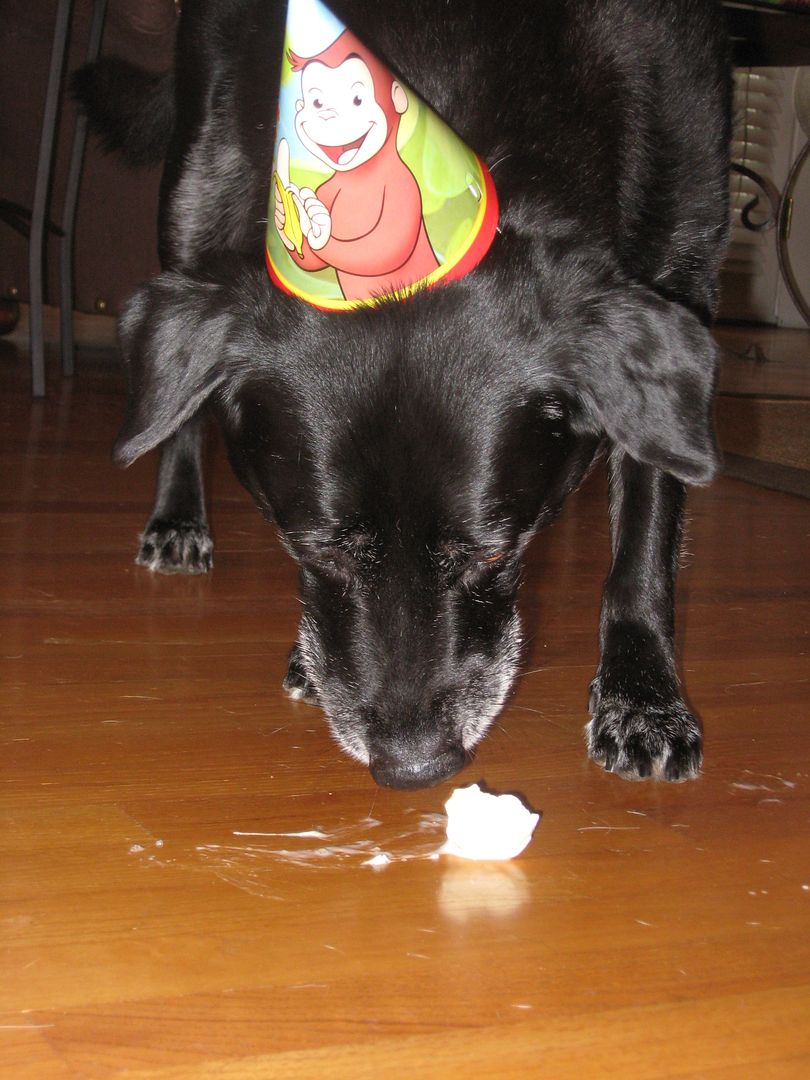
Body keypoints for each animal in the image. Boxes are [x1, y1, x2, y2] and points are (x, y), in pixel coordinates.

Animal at [77, 0, 734, 786]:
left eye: (495, 554)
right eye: (315, 551)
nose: (415, 768)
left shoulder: (677, 266)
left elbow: (646, 525)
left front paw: (643, 697)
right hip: (196, 182)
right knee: (171, 398)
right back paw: (177, 518)